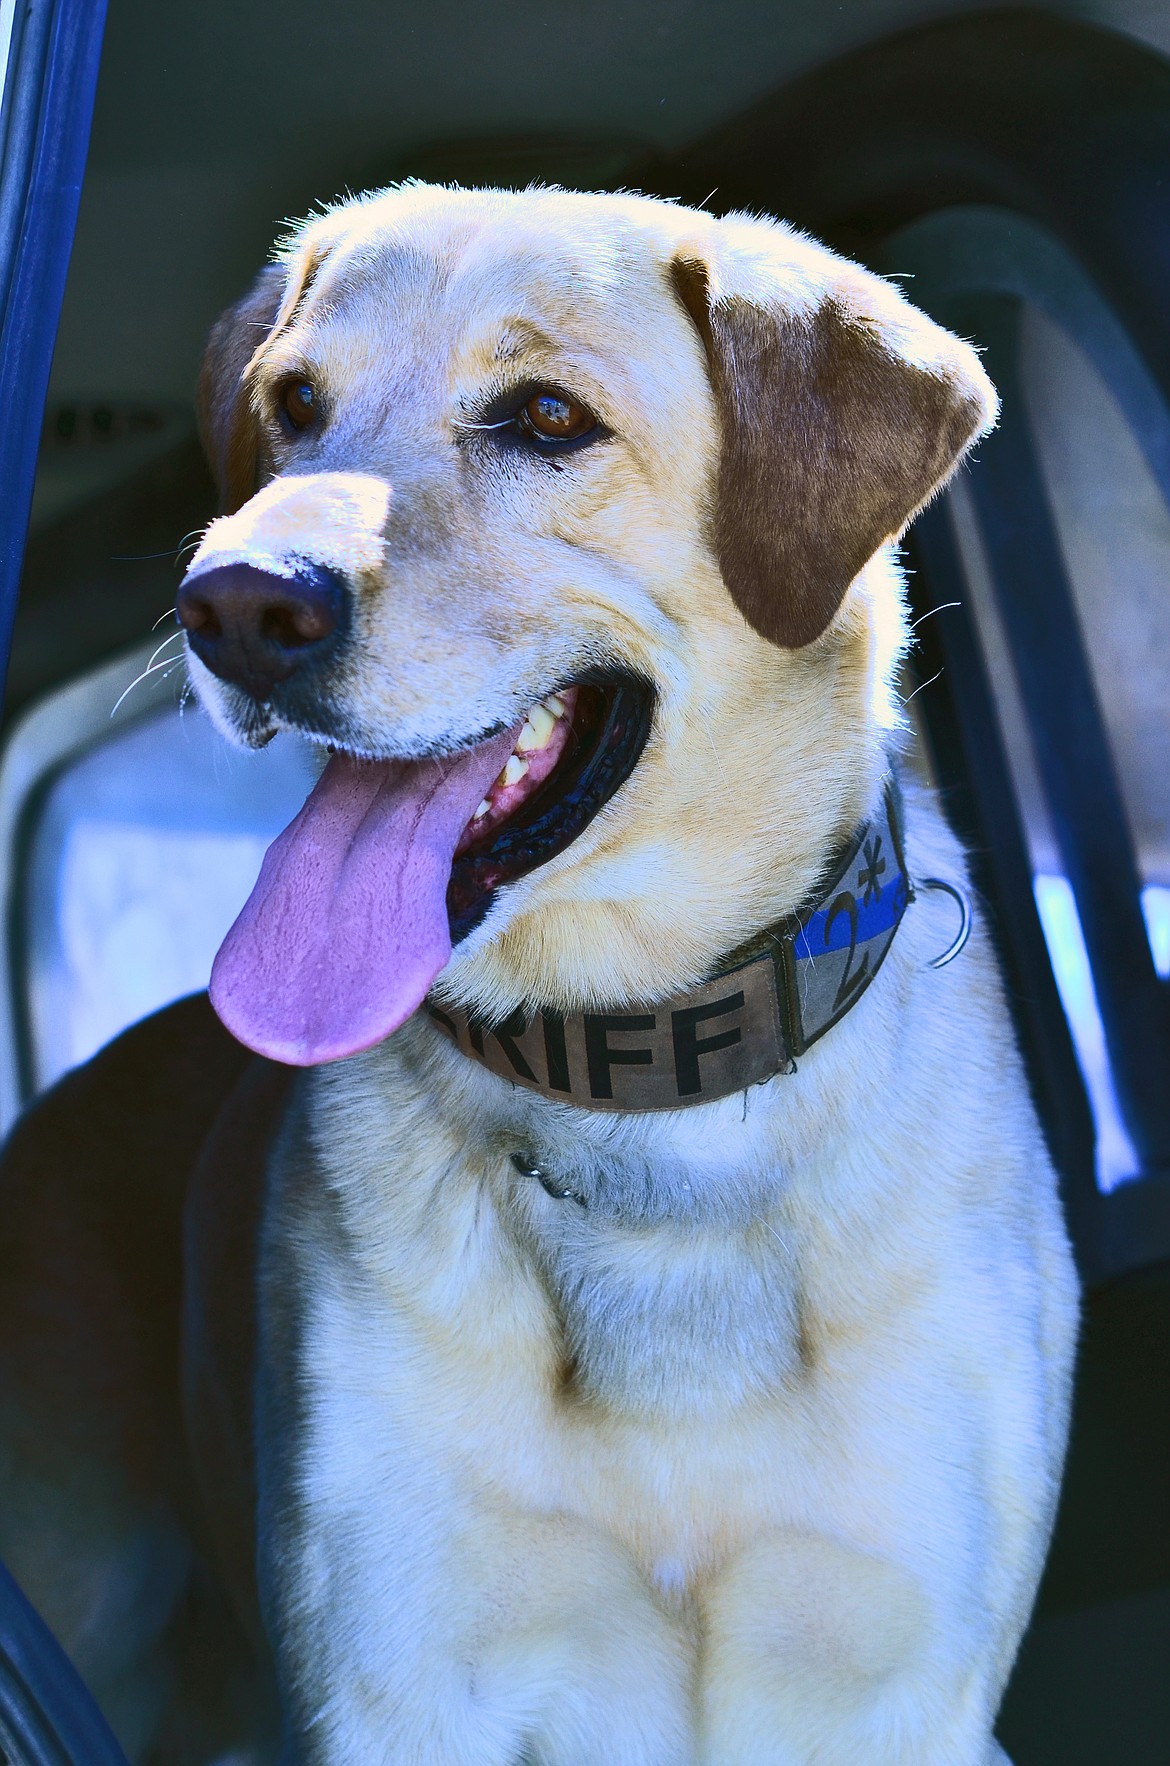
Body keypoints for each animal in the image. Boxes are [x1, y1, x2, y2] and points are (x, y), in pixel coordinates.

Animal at [169, 186, 1072, 1758]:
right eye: (294, 406)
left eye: (544, 417)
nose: (233, 605)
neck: (646, 1084)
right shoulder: (392, 1675)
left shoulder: (903, 1679)